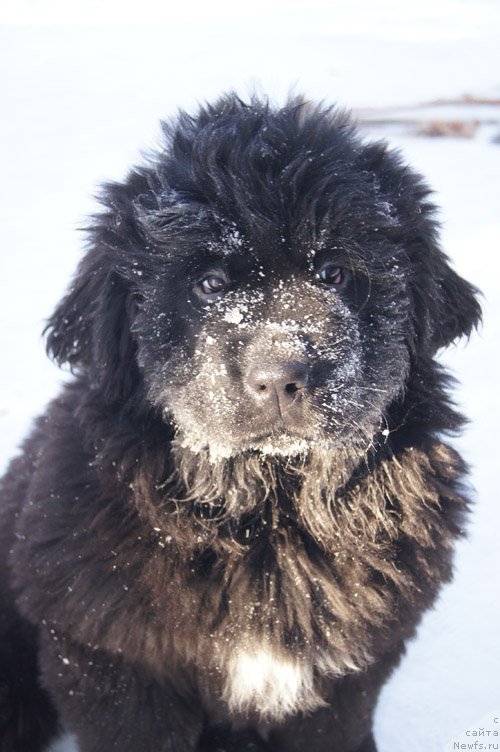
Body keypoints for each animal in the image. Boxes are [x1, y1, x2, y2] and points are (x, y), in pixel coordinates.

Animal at [0, 95, 480, 752]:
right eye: (210, 284)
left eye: (333, 273)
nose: (280, 376)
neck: (270, 514)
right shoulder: (113, 662)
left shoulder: (349, 676)